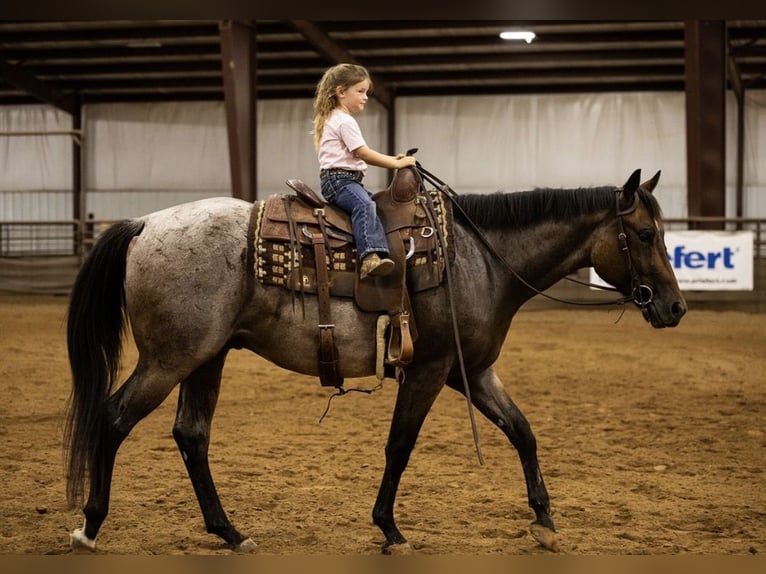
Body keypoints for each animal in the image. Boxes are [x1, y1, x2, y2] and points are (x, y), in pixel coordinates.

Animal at [64, 167, 686, 554]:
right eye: (644, 233)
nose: (676, 307)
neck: (479, 259)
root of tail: (145, 225)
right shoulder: (430, 369)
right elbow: (400, 445)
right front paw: (390, 529)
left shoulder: (471, 371)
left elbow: (523, 432)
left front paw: (545, 522)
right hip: (170, 359)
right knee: (114, 418)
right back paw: (90, 525)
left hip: (206, 359)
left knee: (191, 435)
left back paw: (230, 532)